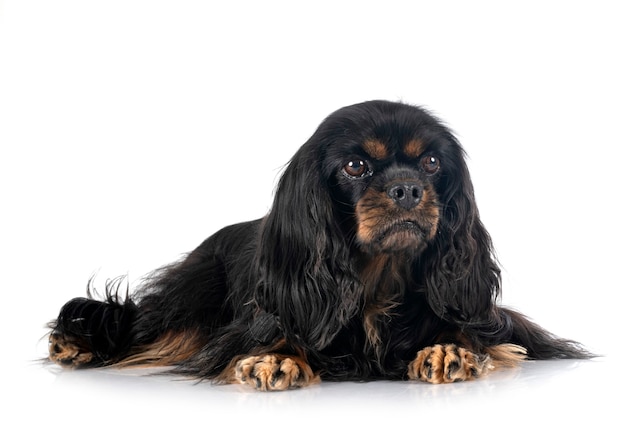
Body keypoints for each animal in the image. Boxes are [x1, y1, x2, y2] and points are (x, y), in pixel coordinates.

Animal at [48, 101, 588, 390]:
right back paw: (73, 344)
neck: (377, 281)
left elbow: (477, 333)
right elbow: (275, 335)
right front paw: (278, 357)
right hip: (193, 298)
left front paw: (448, 347)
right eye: (355, 167)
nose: (408, 188)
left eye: (432, 163)